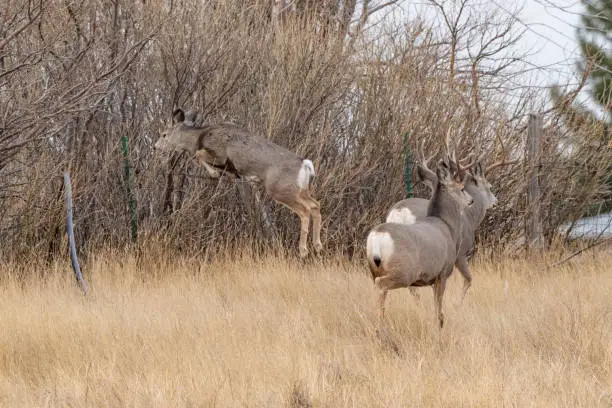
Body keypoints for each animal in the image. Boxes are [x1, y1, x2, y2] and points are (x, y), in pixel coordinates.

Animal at [155, 108, 322, 258]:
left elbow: (198, 154)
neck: (199, 137)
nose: (155, 147)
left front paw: (215, 173)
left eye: (164, 134)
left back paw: (303, 250)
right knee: (315, 205)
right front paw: (224, 174)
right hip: (300, 190)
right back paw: (317, 245)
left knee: (305, 211)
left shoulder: (219, 153)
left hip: (279, 188)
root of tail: (305, 164)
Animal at [366, 156, 476, 328]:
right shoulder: (442, 273)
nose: (471, 200)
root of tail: (378, 236)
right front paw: (439, 325)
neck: (447, 226)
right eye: (462, 188)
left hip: (373, 269)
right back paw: (380, 325)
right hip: (404, 271)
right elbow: (438, 309)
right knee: (381, 285)